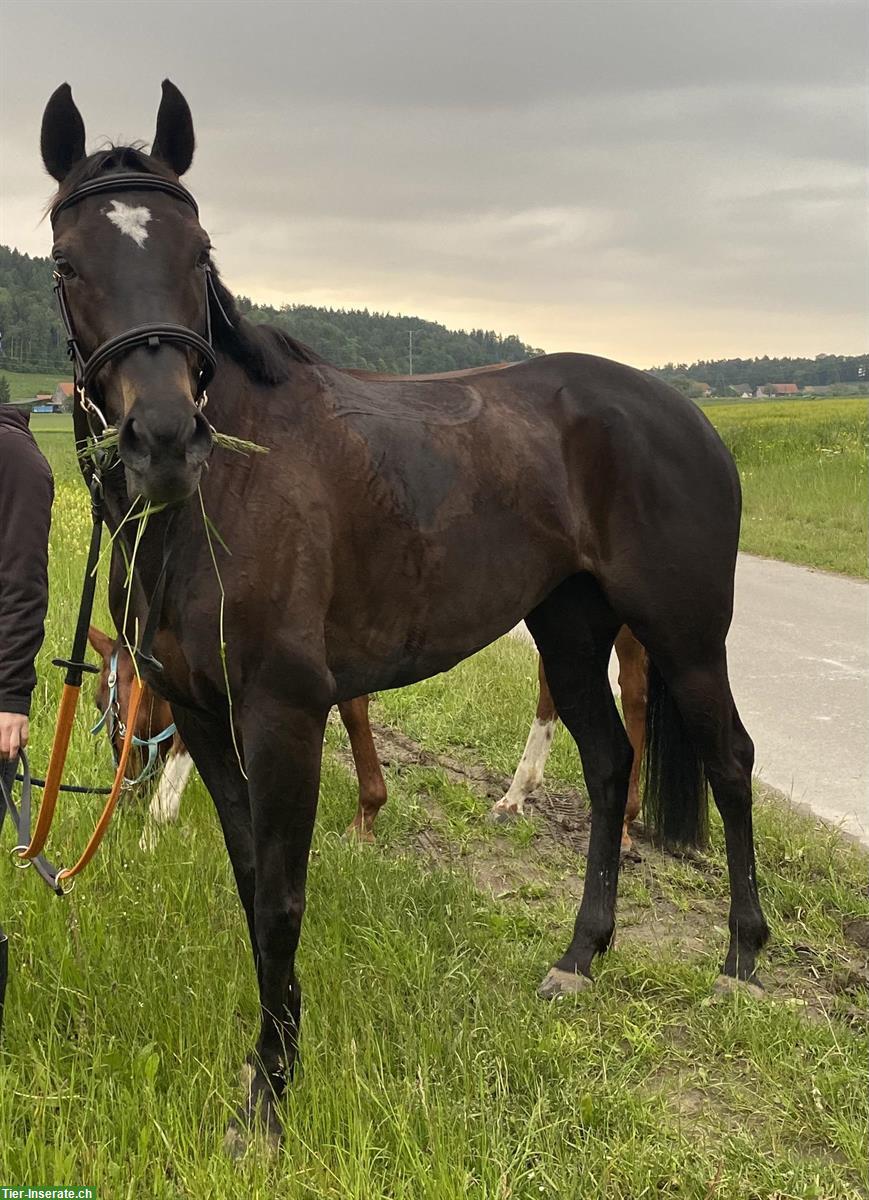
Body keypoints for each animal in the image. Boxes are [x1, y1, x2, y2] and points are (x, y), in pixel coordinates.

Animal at [39, 79, 768, 1147]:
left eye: (198, 251)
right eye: (67, 262)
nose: (164, 439)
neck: (225, 497)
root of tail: (686, 412)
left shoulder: (285, 715)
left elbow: (283, 897)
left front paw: (270, 1096)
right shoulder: (207, 718)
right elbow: (251, 881)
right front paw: (270, 1059)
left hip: (682, 636)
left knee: (728, 763)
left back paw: (740, 961)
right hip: (570, 628)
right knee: (607, 765)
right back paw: (579, 956)